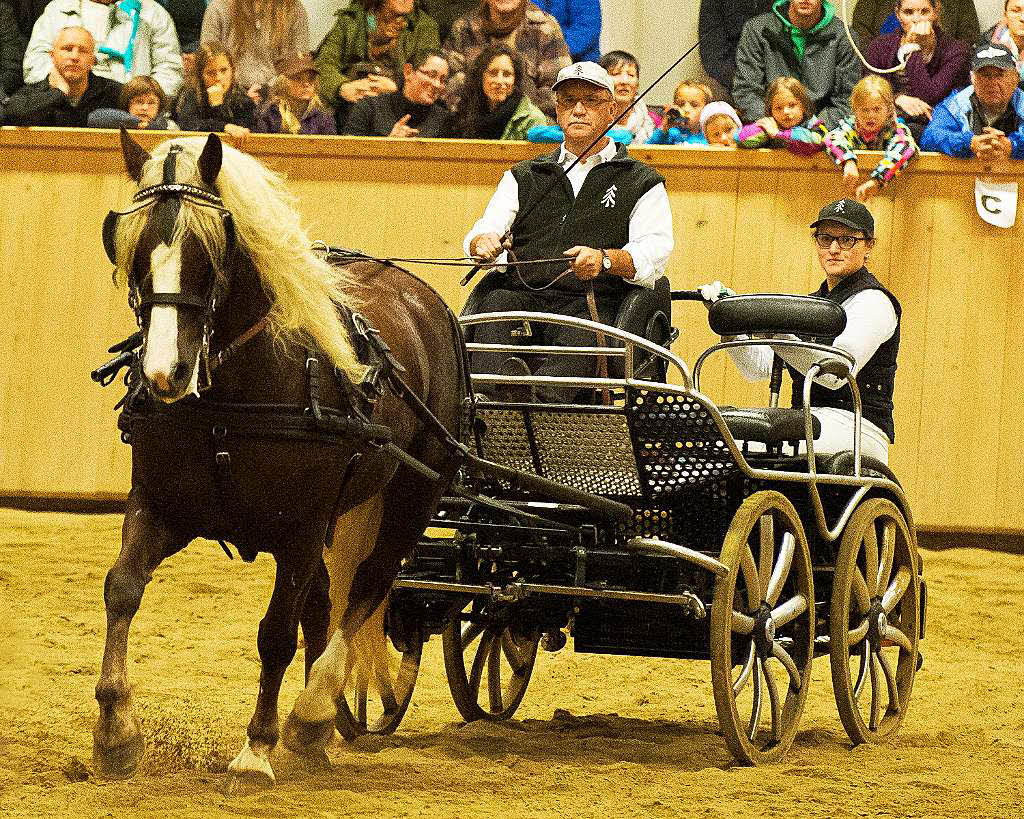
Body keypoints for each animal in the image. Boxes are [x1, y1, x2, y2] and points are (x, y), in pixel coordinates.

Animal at [92, 131, 468, 790]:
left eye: (208, 252)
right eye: (131, 249)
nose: (163, 374)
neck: (232, 398)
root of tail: (424, 298)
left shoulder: (298, 530)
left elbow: (275, 635)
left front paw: (256, 749)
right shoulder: (161, 506)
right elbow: (123, 590)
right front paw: (116, 733)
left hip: (412, 496)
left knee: (367, 586)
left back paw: (311, 713)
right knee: (326, 602)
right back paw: (320, 730)